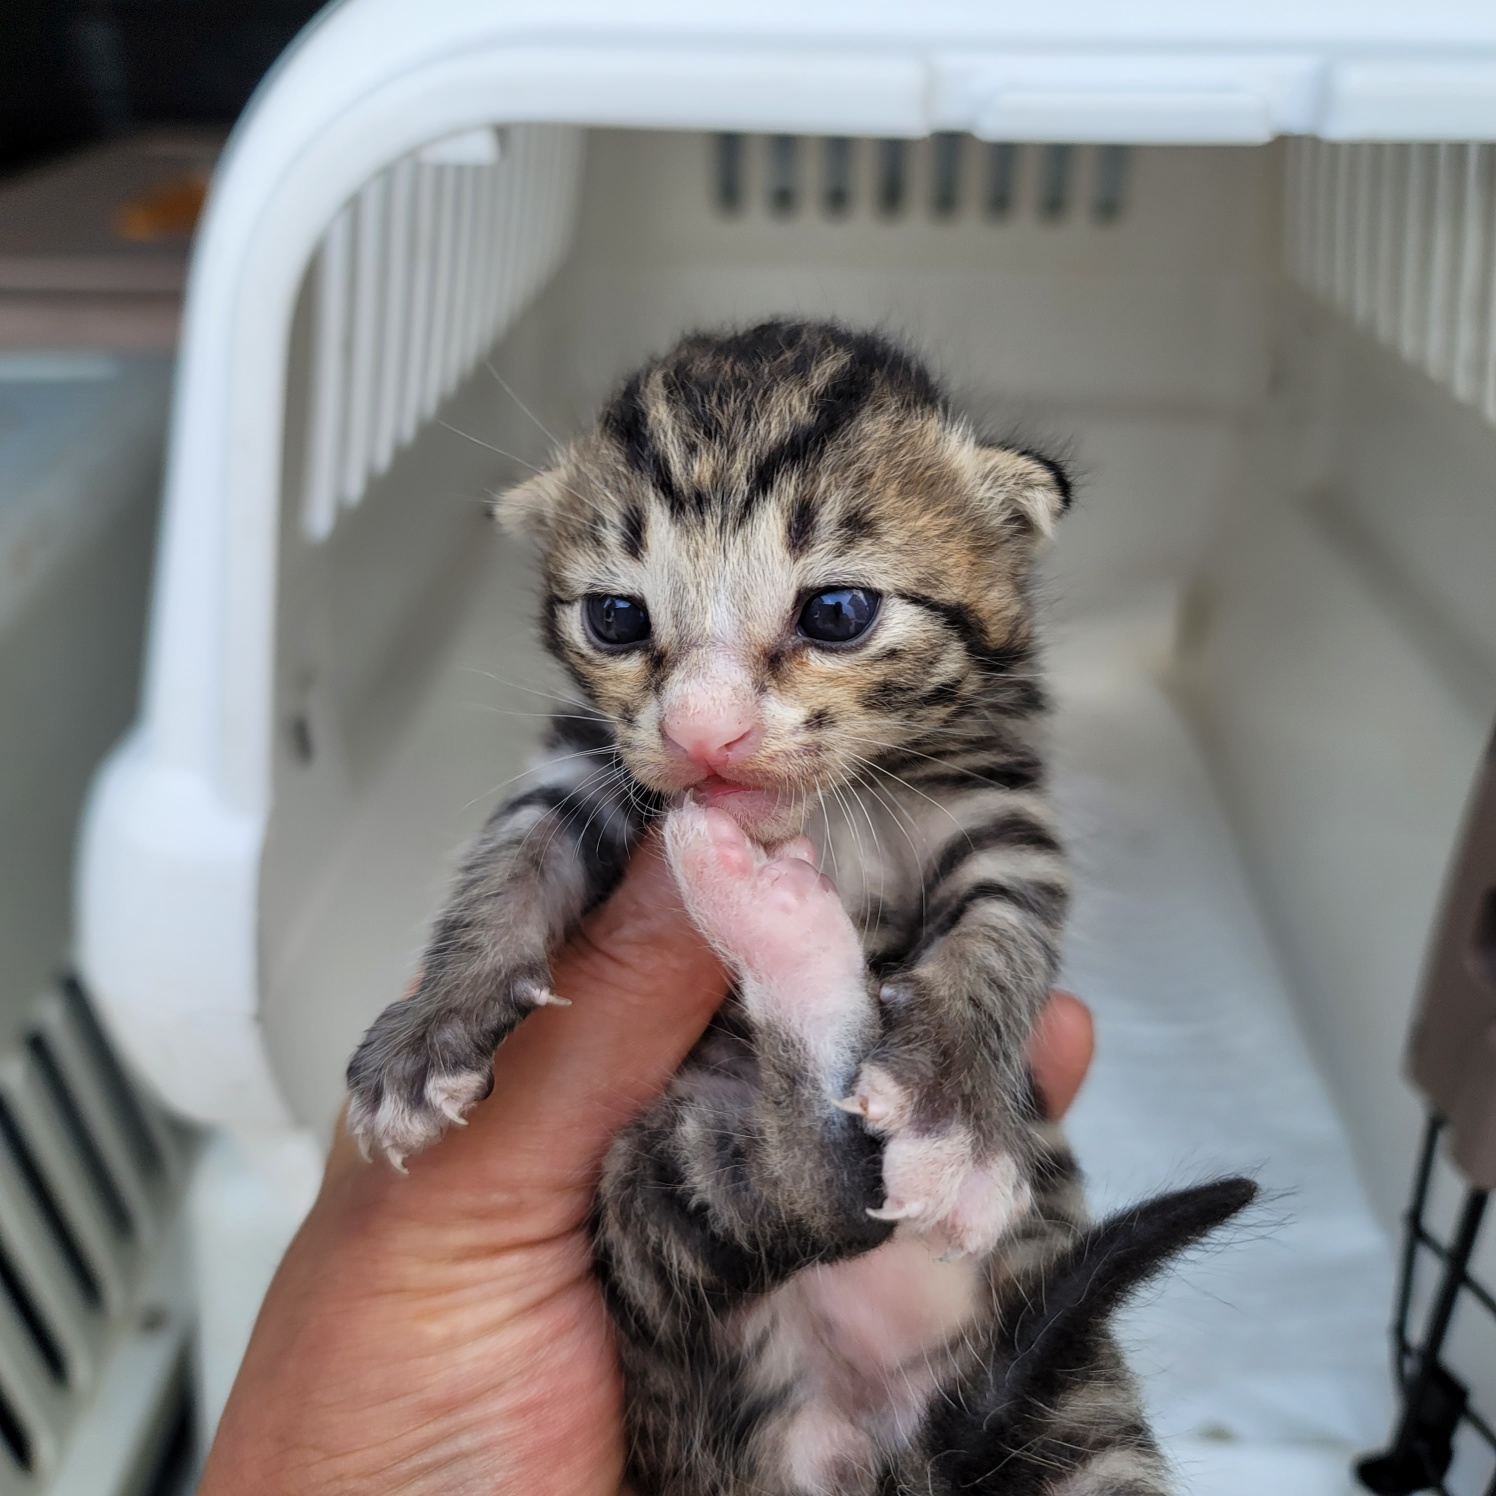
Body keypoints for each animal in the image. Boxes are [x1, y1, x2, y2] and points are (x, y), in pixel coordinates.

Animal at [347, 318, 1250, 1496]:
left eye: (836, 612)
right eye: (615, 617)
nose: (702, 735)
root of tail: (862, 1452)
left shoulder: (1002, 819)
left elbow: (1000, 945)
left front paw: (955, 1106)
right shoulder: (580, 766)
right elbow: (508, 861)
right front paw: (427, 1030)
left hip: (1075, 1409)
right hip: (646, 1209)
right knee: (798, 1198)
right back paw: (768, 916)